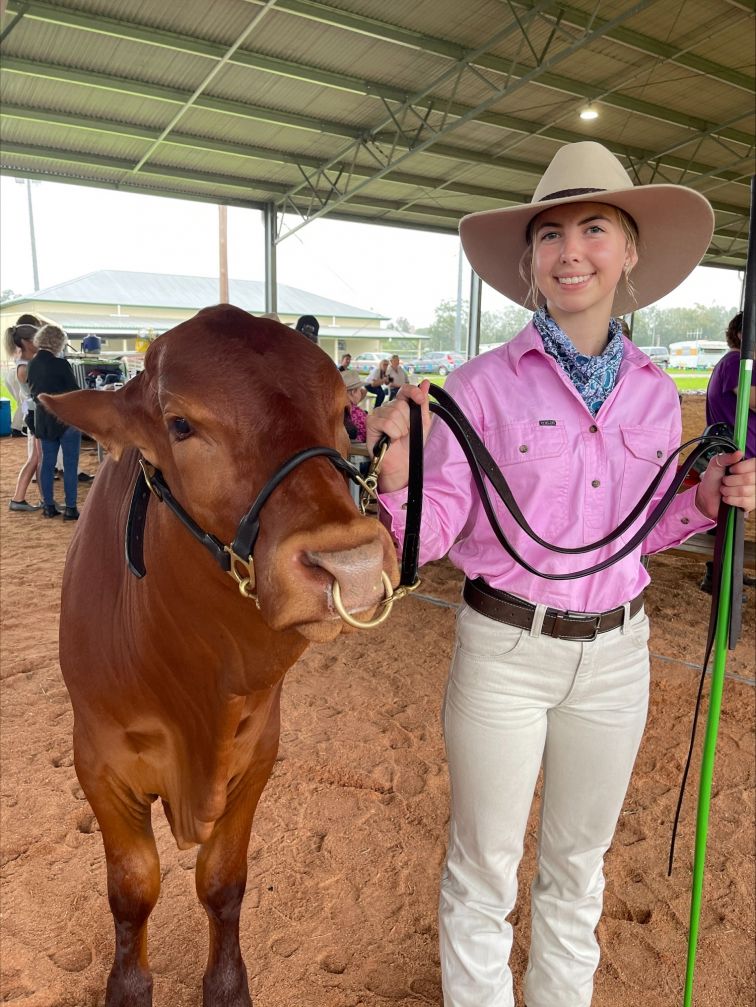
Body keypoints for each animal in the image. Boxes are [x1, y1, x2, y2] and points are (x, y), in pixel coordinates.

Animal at [42, 306, 398, 1007]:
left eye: (340, 412)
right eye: (181, 424)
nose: (351, 563)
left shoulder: (256, 752)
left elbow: (223, 881)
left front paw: (228, 985)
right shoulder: (97, 760)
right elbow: (133, 888)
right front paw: (129, 986)